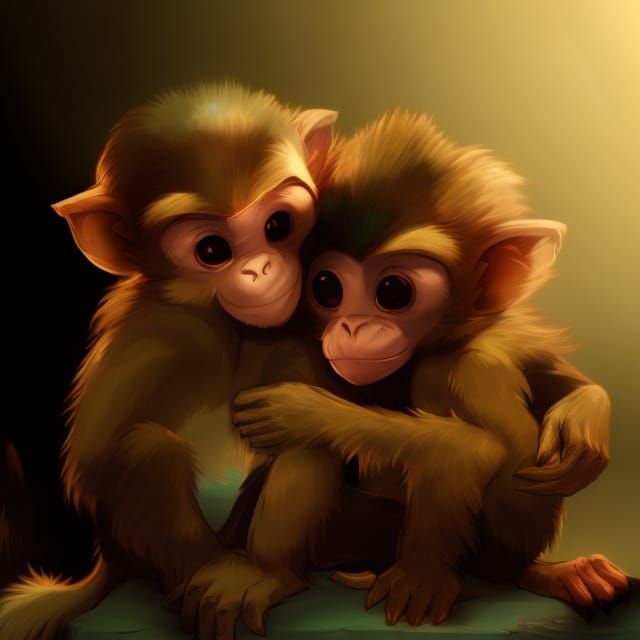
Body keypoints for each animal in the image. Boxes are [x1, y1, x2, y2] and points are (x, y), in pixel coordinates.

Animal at [0, 84, 337, 640]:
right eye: (212, 250)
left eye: (278, 225)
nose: (261, 269)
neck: (229, 328)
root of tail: (108, 561)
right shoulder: (156, 341)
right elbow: (99, 464)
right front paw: (223, 577)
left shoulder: (293, 332)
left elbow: (302, 418)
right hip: (136, 551)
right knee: (148, 449)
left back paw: (268, 573)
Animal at [231, 110, 629, 627]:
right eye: (326, 286)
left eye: (394, 292)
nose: (353, 327)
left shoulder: (493, 332)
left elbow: (507, 400)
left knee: (458, 381)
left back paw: (494, 574)